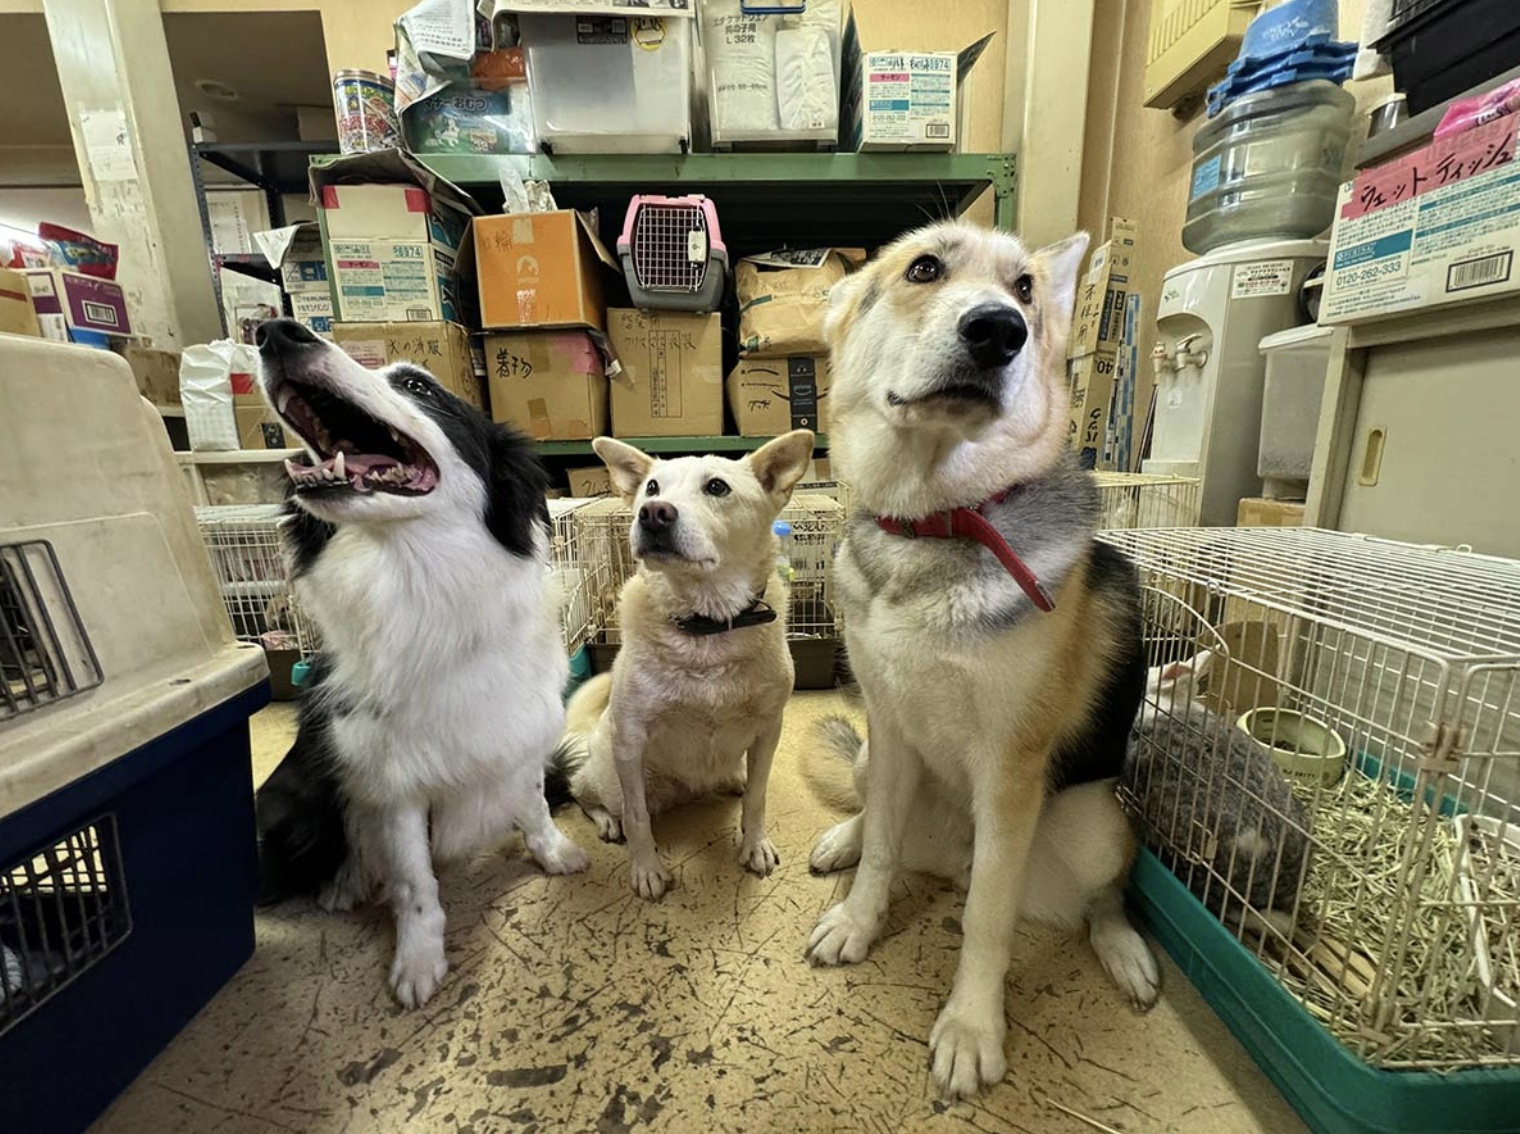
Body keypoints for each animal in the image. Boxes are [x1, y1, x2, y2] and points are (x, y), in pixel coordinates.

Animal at [252, 313, 583, 1003]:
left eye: (418, 386)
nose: (273, 330)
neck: (427, 595)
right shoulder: (392, 778)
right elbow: (414, 881)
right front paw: (419, 961)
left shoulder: (522, 733)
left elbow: (535, 805)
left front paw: (555, 853)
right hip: (292, 800)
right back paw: (344, 884)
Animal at [559, 428, 820, 893]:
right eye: (651, 487)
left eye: (717, 487)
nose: (653, 514)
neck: (707, 627)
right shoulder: (630, 739)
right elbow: (638, 818)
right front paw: (646, 869)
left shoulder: (768, 730)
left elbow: (757, 798)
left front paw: (754, 845)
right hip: (610, 772)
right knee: (587, 793)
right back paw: (607, 821)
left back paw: (733, 778)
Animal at [802, 220, 1155, 1094]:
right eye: (924, 268)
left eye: (1025, 289)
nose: (1000, 330)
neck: (939, 523)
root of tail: (948, 857)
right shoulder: (890, 731)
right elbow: (881, 854)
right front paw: (859, 920)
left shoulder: (1009, 770)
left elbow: (986, 921)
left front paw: (970, 1025)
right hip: (876, 761)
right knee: (876, 818)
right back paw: (844, 837)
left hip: (1097, 822)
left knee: (1099, 899)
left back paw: (1123, 949)